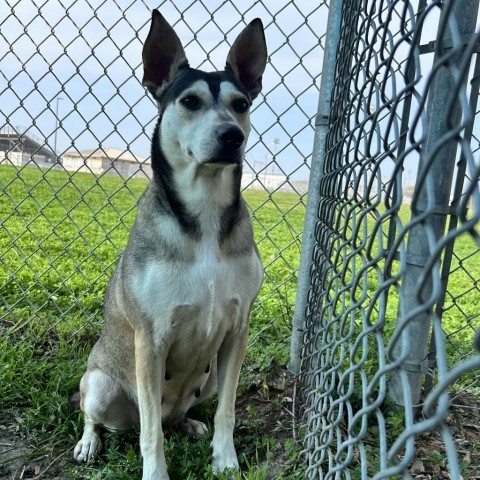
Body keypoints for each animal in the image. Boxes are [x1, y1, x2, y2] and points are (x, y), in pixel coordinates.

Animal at [72, 8, 266, 480]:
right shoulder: (151, 339)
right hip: (100, 383)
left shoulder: (237, 330)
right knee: (102, 413)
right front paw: (156, 473)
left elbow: (228, 409)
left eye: (241, 103)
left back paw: (190, 424)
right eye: (190, 102)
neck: (204, 215)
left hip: (208, 377)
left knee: (174, 415)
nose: (232, 136)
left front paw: (225, 458)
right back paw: (89, 442)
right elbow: (150, 432)